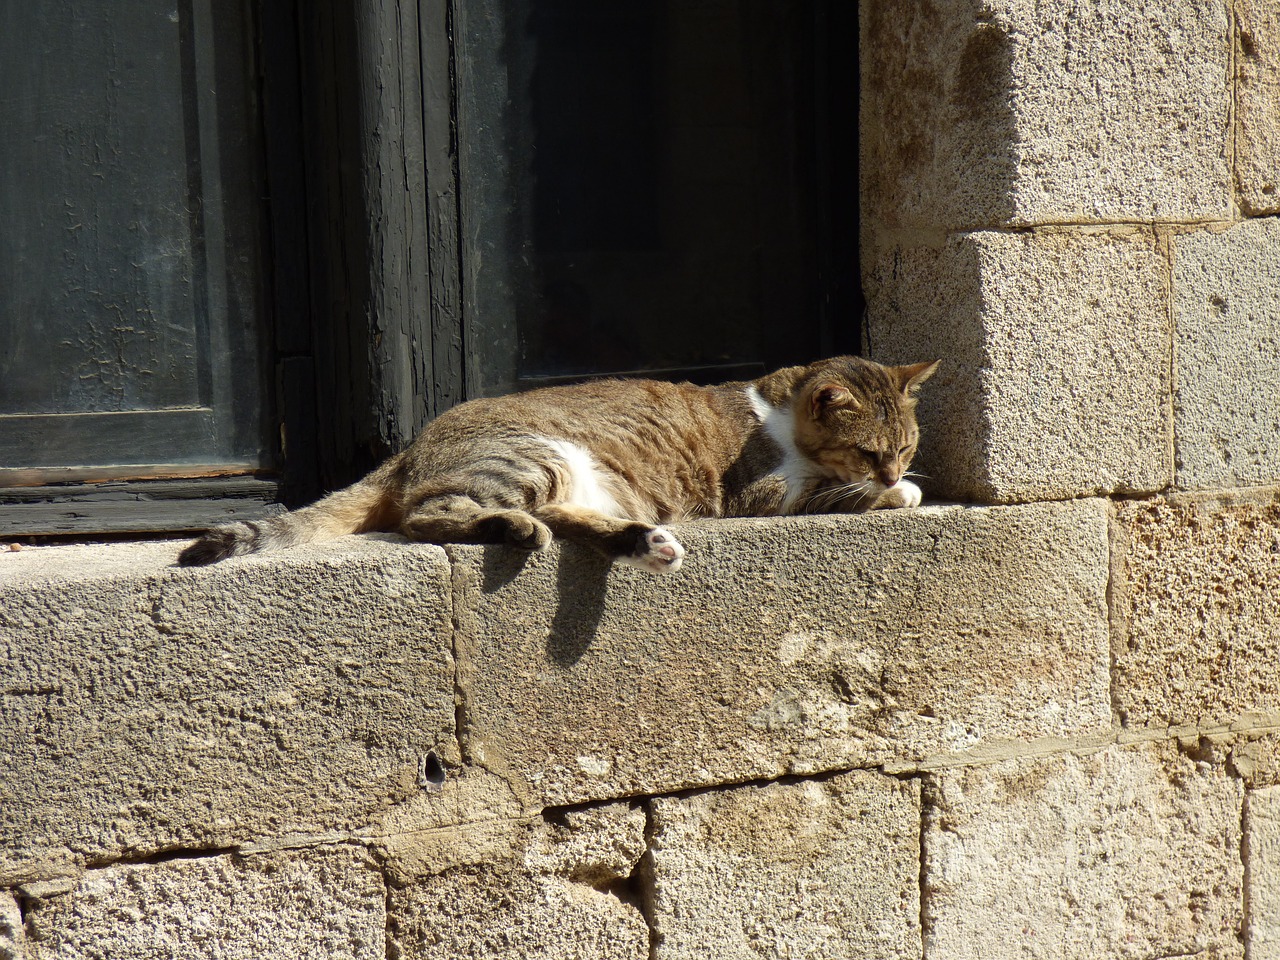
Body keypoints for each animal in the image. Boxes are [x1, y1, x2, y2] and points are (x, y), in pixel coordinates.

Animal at [177, 358, 942, 570]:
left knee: (567, 517)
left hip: (578, 478)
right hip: (530, 454)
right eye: (872, 452)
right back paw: (513, 531)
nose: (892, 471)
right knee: (431, 516)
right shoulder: (763, 492)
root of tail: (411, 447)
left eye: (905, 447)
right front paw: (895, 495)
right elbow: (829, 492)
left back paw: (645, 543)